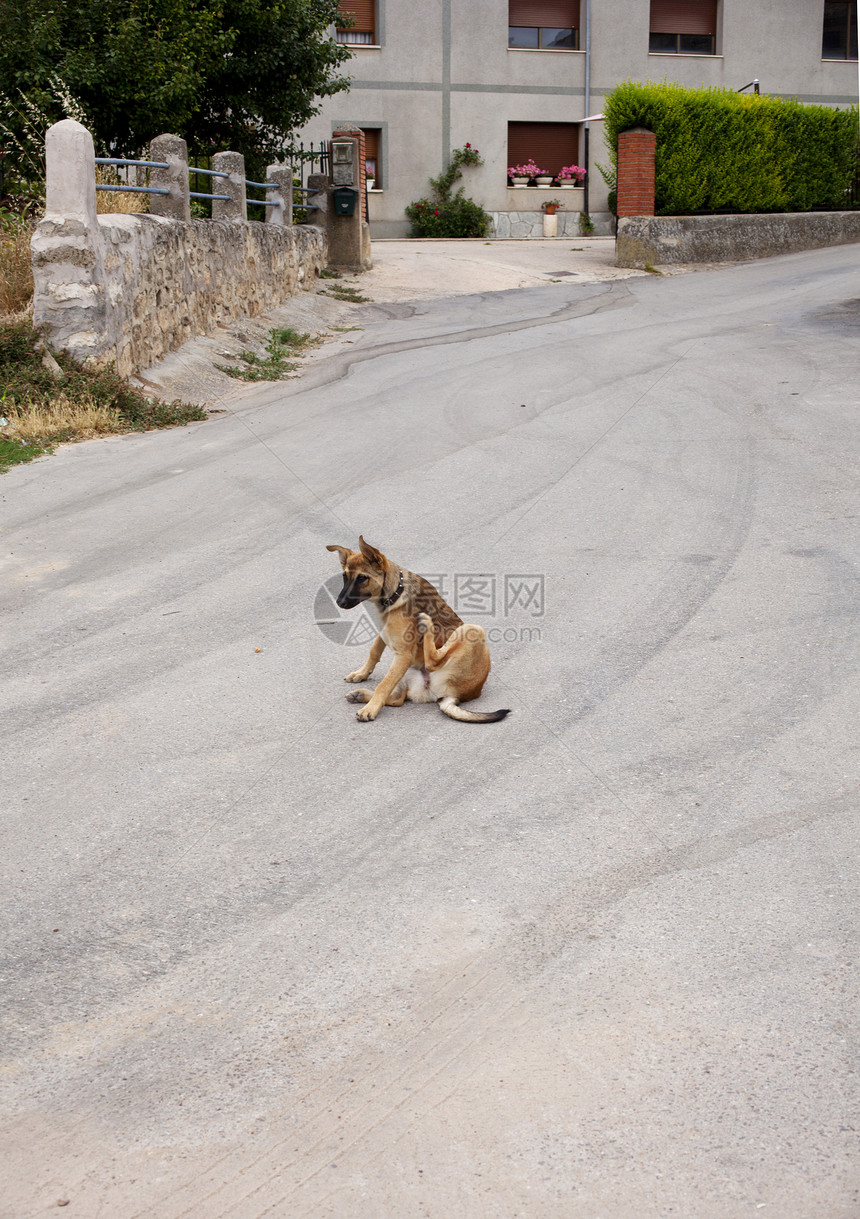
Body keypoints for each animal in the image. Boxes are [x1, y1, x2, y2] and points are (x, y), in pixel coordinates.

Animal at [324, 536, 507, 721]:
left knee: (432, 661)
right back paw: (360, 695)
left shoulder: (403, 655)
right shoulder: (384, 633)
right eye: (344, 576)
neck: (395, 593)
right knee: (398, 699)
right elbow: (374, 652)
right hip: (407, 673)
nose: (339, 602)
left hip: (473, 629)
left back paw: (427, 623)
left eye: (362, 578)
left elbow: (383, 685)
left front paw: (371, 709)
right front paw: (361, 673)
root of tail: (454, 697)